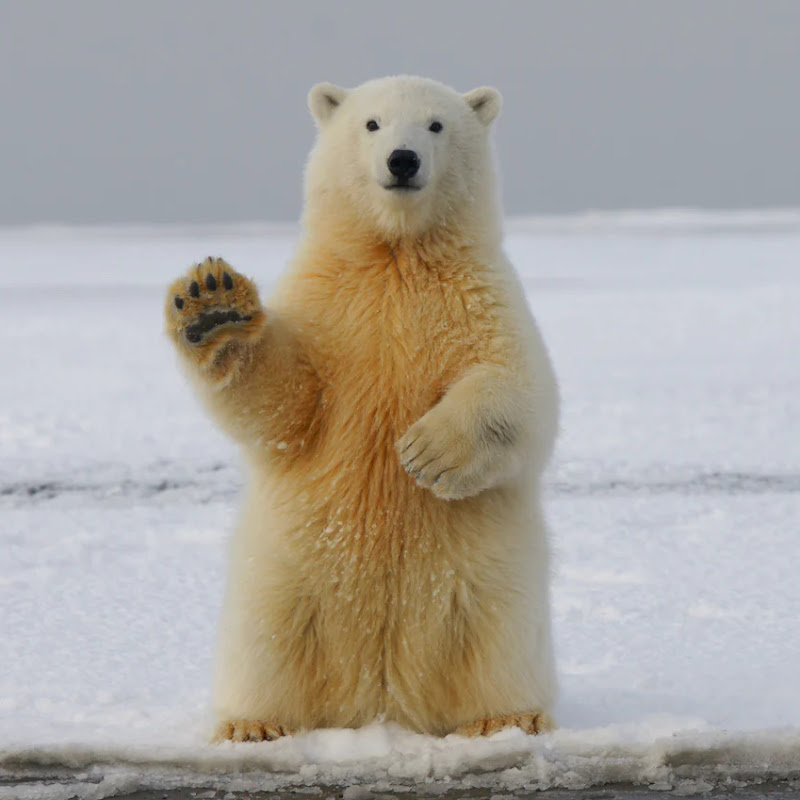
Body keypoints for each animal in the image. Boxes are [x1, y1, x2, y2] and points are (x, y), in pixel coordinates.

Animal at [164, 75, 559, 741]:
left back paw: (508, 718)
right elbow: (286, 404)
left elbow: (520, 390)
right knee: (267, 643)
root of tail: (381, 700)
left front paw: (427, 452)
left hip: (489, 582)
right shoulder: (328, 306)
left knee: (497, 640)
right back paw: (253, 725)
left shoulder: (481, 298)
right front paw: (213, 305)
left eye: (435, 125)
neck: (395, 255)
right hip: (283, 577)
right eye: (371, 123)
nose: (402, 160)